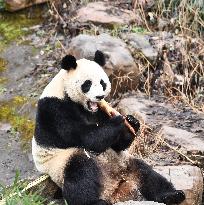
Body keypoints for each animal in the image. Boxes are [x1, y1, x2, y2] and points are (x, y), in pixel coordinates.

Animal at [31, 50, 185, 205]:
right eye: (87, 84)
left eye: (102, 83)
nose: (100, 96)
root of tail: (113, 186)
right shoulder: (55, 109)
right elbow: (88, 138)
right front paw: (119, 119)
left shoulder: (99, 111)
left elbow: (117, 144)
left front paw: (132, 122)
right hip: (63, 162)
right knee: (80, 174)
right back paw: (94, 201)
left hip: (124, 163)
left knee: (146, 173)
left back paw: (172, 195)